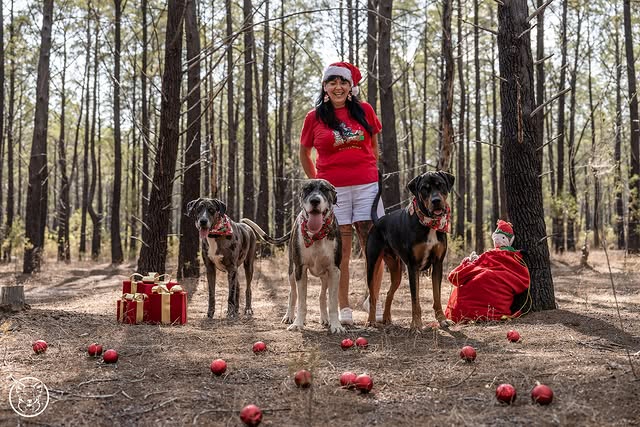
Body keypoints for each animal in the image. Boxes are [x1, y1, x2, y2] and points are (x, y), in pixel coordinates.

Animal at [244, 179, 344, 336]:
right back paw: (289, 316)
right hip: (292, 271)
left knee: (322, 296)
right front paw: (298, 323)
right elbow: (301, 301)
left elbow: (333, 302)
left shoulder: (334, 271)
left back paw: (324, 318)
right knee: (292, 294)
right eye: (307, 189)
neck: (316, 235)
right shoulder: (300, 269)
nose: (315, 200)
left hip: (325, 276)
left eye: (325, 189)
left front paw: (336, 325)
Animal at [364, 171, 456, 332]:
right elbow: (415, 299)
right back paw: (371, 321)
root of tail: (378, 221)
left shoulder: (438, 264)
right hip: (372, 264)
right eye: (425, 188)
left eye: (441, 185)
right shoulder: (413, 267)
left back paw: (386, 318)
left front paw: (442, 320)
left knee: (389, 293)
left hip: (396, 270)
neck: (429, 224)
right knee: (373, 295)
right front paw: (416, 324)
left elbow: (437, 296)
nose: (436, 201)